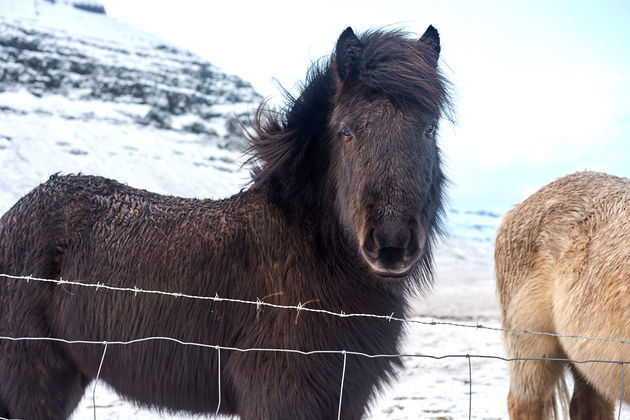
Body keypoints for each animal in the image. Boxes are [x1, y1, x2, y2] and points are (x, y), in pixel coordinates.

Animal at [0, 27, 454, 420]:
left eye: (429, 129)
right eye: (346, 132)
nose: (391, 244)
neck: (310, 253)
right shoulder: (281, 398)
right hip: (36, 383)